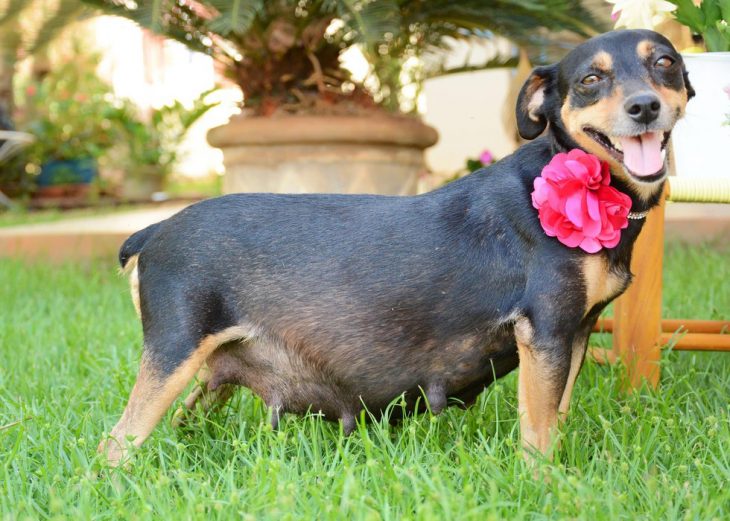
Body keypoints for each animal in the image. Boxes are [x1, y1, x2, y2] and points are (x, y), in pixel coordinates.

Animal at [99, 30, 692, 466]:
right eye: (591, 79)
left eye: (665, 63)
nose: (644, 106)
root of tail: (154, 230)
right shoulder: (545, 331)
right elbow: (540, 431)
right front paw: (542, 485)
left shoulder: (576, 332)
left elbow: (558, 416)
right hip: (174, 351)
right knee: (115, 444)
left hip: (210, 375)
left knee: (183, 420)